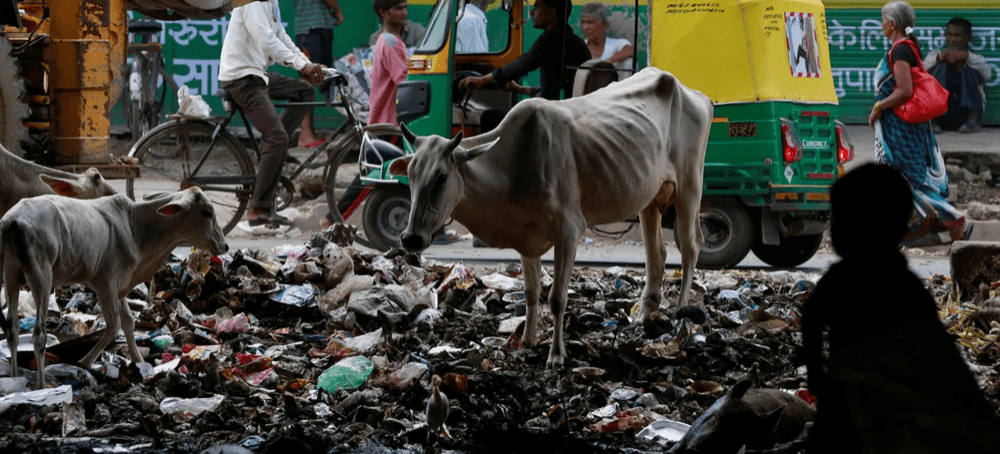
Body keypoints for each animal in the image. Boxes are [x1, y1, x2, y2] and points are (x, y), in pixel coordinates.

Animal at [0, 186, 228, 388]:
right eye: (207, 212)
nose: (225, 246)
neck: (137, 227)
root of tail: (13, 221)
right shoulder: (105, 282)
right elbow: (113, 325)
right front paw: (85, 362)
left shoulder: (120, 285)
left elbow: (128, 322)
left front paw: (139, 362)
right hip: (41, 277)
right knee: (39, 335)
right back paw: (40, 386)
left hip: (10, 276)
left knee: (12, 329)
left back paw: (14, 378)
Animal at [390, 67, 712, 368]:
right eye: (411, 174)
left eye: (442, 176)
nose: (411, 237)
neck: (515, 163)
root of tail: (696, 94)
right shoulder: (526, 238)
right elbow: (531, 293)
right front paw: (527, 341)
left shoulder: (569, 232)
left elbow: (557, 298)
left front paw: (556, 355)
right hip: (649, 199)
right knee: (656, 256)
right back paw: (644, 314)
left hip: (690, 186)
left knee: (690, 246)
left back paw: (681, 312)